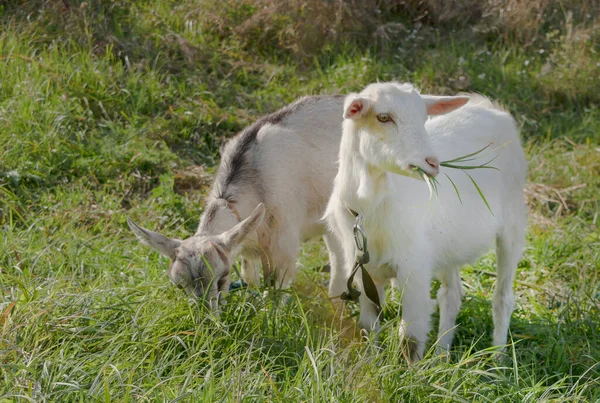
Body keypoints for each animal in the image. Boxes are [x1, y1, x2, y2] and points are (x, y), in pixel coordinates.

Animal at [326, 81, 528, 362]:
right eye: (383, 117)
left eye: (424, 117)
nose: (432, 163)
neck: (369, 208)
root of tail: (491, 108)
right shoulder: (365, 272)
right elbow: (368, 326)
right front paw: (370, 365)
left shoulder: (414, 268)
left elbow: (410, 336)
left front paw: (410, 372)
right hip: (448, 243)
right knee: (451, 295)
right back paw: (442, 356)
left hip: (512, 225)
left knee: (502, 297)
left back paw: (497, 359)